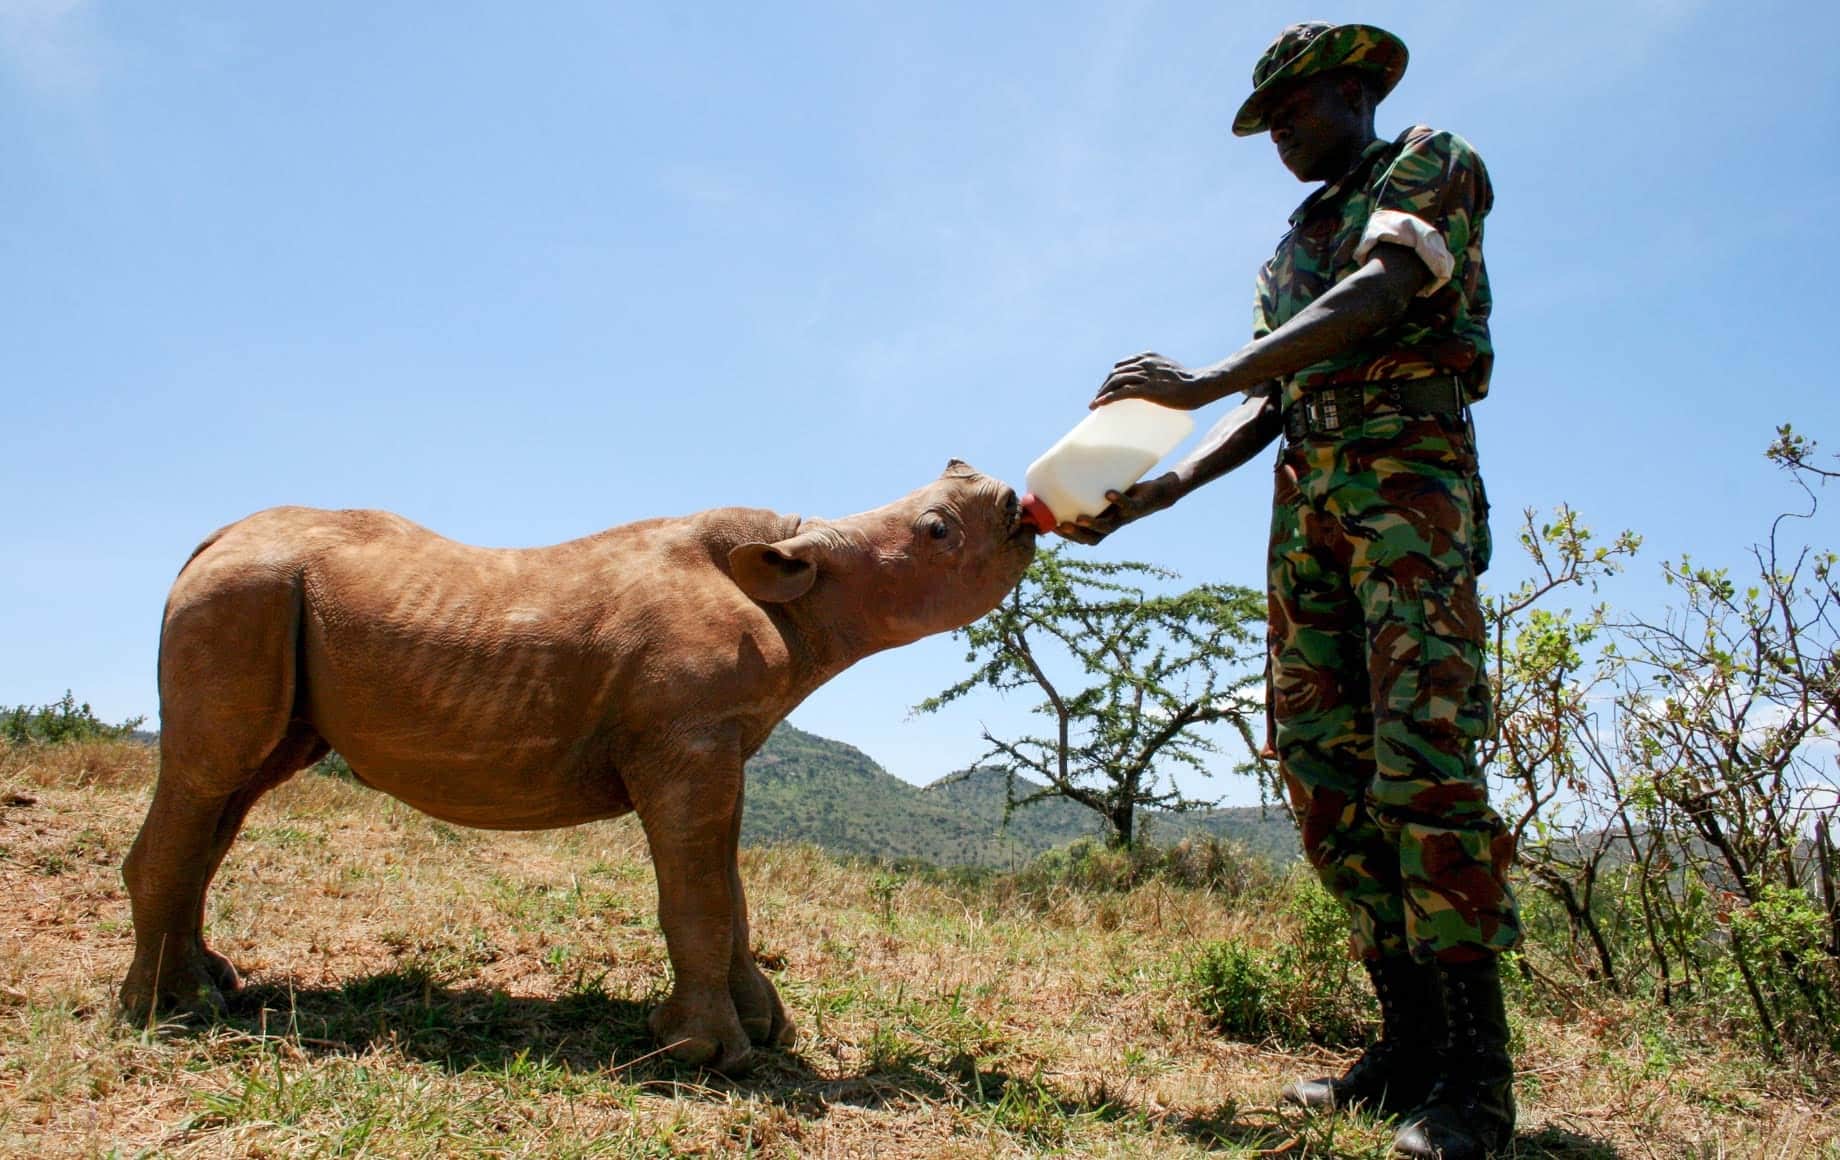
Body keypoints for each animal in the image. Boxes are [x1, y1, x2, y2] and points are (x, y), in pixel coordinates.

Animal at [118, 462, 1037, 1075]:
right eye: (937, 530)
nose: (1011, 501)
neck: (802, 590)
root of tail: (209, 544)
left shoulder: (719, 742)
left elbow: (731, 890)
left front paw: (769, 1033)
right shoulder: (685, 740)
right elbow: (700, 897)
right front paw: (705, 1055)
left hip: (263, 606)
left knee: (232, 794)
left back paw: (215, 989)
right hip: (243, 594)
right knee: (210, 779)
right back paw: (167, 1015)